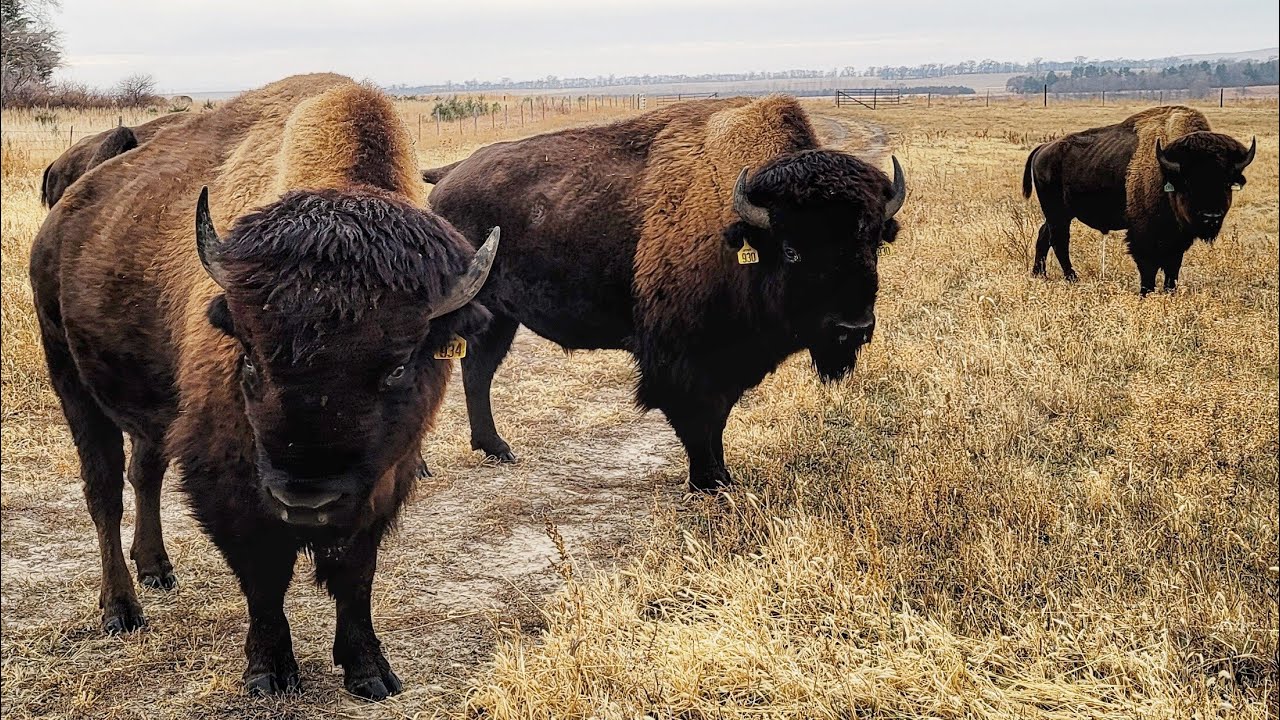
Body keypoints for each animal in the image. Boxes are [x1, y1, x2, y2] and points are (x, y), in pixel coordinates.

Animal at [30, 74, 497, 699]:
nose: (305, 499)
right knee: (103, 491)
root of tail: (64, 214)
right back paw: (121, 610)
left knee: (143, 473)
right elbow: (264, 575)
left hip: (150, 413)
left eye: (399, 366)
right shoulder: (228, 477)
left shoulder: (385, 477)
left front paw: (370, 671)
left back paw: (157, 569)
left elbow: (356, 571)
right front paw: (269, 672)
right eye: (248, 357)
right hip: (71, 383)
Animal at [423, 97, 905, 491]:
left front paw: (721, 477)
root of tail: (445, 179)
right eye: (792, 249)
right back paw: (430, 466)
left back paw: (497, 449)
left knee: (477, 372)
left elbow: (718, 416)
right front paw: (710, 481)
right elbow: (698, 417)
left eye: (874, 242)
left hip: (500, 318)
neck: (737, 230)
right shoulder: (683, 357)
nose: (852, 327)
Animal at [1022, 105, 1255, 294]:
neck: (1167, 173)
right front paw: (1146, 292)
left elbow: (1173, 265)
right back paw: (1072, 278)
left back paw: (1039, 274)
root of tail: (1043, 149)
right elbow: (1148, 265)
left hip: (1060, 213)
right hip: (1057, 213)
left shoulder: (1177, 237)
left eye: (1227, 182)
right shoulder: (1142, 232)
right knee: (1059, 241)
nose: (1211, 216)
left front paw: (1169, 292)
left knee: (1044, 235)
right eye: (1188, 182)